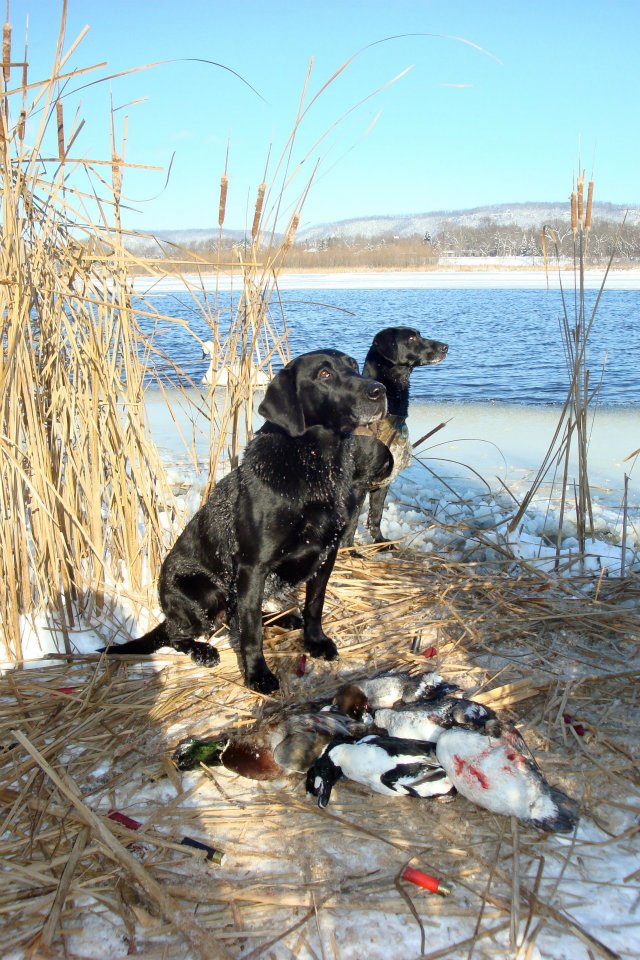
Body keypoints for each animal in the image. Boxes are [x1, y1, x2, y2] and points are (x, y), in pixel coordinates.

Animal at [104, 348, 384, 692]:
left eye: (354, 366)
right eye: (324, 374)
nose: (379, 390)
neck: (315, 465)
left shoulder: (325, 554)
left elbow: (314, 606)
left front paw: (315, 642)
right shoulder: (254, 566)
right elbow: (251, 633)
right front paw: (257, 674)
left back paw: (284, 618)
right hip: (204, 591)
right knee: (180, 633)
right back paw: (202, 650)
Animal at [342, 326, 448, 544]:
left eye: (419, 334)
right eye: (411, 338)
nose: (445, 347)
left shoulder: (384, 479)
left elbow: (376, 515)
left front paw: (381, 542)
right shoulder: (358, 484)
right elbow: (352, 523)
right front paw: (350, 549)